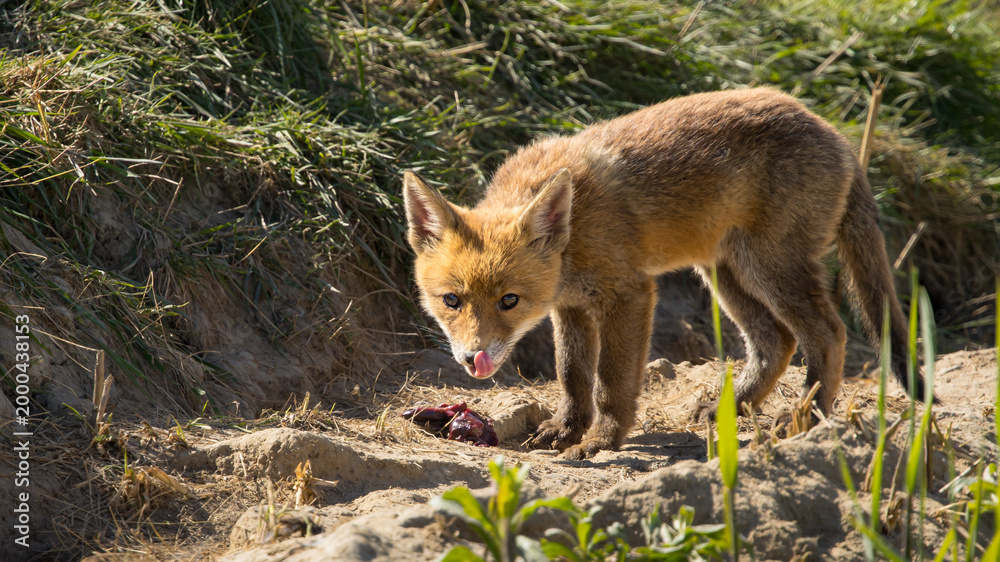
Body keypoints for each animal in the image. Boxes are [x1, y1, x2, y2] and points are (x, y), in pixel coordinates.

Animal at [403, 88, 928, 460]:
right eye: (452, 301)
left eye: (509, 301)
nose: (473, 360)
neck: (574, 228)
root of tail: (834, 131)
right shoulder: (571, 306)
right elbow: (572, 375)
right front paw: (567, 429)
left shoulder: (629, 294)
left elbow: (610, 380)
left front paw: (601, 440)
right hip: (725, 274)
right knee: (776, 342)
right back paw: (736, 406)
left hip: (770, 268)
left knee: (829, 333)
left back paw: (807, 418)